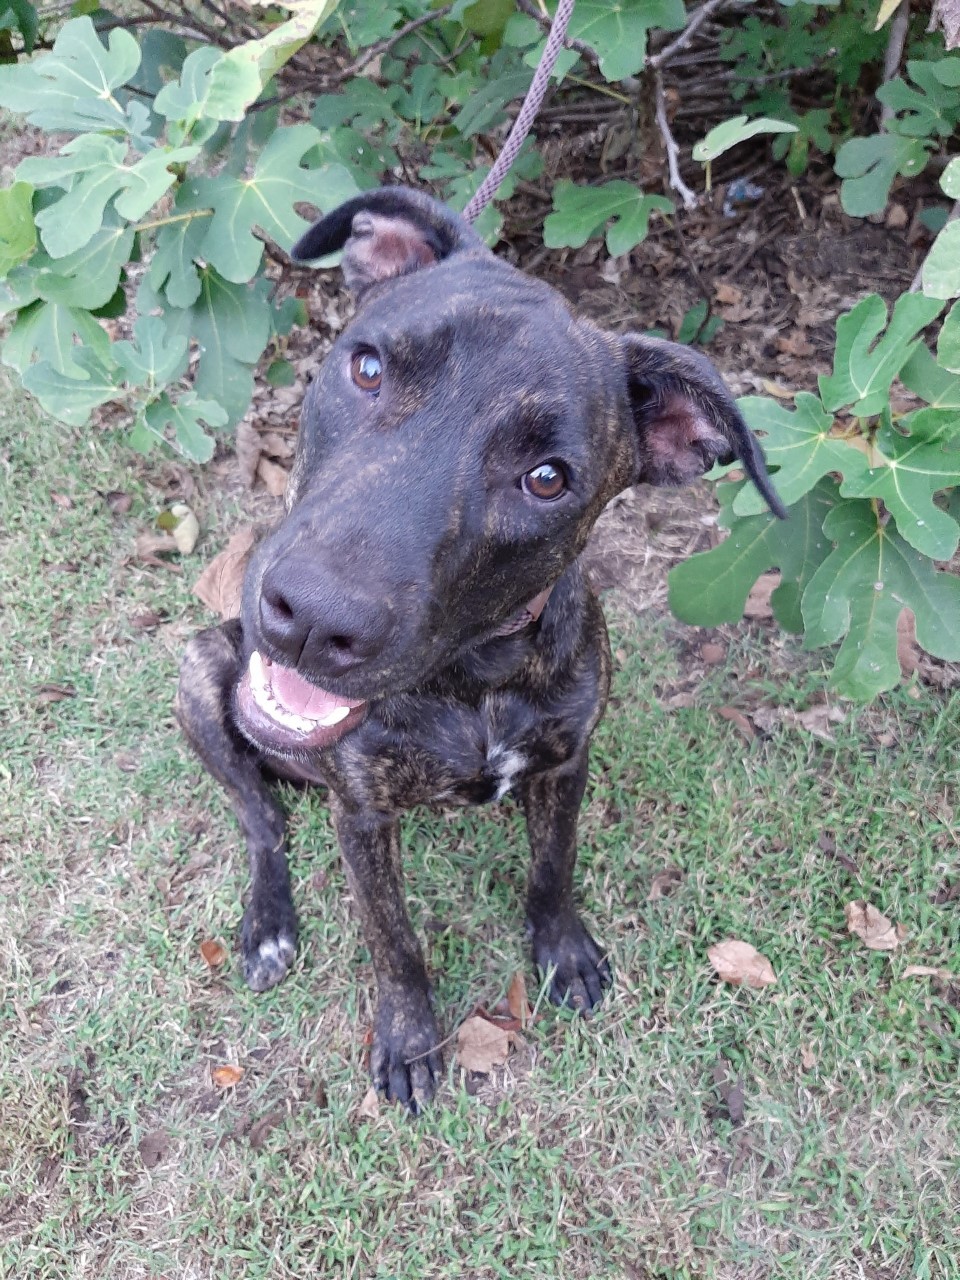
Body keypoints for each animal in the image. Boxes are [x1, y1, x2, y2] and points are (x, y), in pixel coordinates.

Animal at [176, 185, 783, 1116]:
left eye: (547, 478)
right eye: (367, 368)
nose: (312, 618)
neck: (472, 675)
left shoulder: (566, 762)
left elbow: (553, 868)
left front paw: (563, 949)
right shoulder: (363, 817)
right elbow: (393, 941)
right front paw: (408, 1038)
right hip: (198, 668)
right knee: (263, 820)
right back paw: (269, 924)